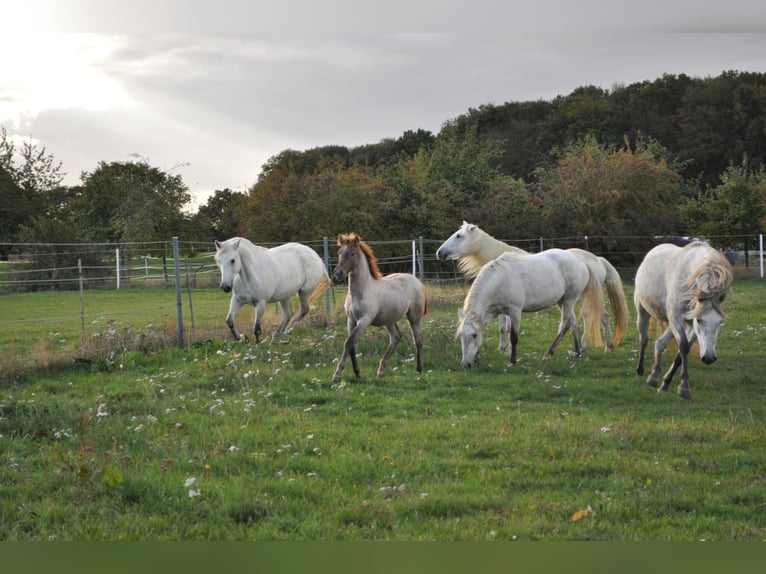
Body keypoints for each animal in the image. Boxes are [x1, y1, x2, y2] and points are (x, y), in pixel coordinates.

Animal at [332, 232, 428, 384]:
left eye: (352, 254)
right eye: (339, 252)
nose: (338, 273)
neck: (362, 290)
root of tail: (417, 281)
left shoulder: (364, 320)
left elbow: (349, 342)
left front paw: (337, 374)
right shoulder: (351, 320)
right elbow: (352, 345)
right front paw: (357, 373)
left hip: (414, 317)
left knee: (418, 339)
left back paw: (418, 370)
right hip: (389, 319)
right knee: (396, 337)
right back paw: (381, 370)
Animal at [438, 223, 632, 354]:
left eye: (459, 236)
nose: (439, 252)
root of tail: (598, 260)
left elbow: (507, 327)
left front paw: (506, 349)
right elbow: (502, 327)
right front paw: (503, 347)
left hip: (582, 298)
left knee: (592, 317)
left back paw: (589, 347)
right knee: (602, 317)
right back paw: (606, 347)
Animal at [456, 249, 608, 368]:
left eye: (473, 335)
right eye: (461, 336)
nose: (465, 364)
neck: (499, 279)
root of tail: (580, 261)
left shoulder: (515, 311)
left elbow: (514, 337)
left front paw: (512, 361)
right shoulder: (491, 312)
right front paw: (477, 358)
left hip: (570, 300)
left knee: (564, 326)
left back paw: (548, 355)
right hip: (562, 301)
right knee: (574, 324)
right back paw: (578, 354)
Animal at [632, 243, 736, 400]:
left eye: (720, 322)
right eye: (699, 320)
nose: (709, 358)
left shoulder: (689, 323)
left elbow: (681, 354)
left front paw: (665, 384)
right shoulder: (680, 318)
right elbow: (683, 347)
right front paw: (684, 388)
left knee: (660, 343)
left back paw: (654, 376)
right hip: (643, 312)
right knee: (644, 340)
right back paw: (640, 370)